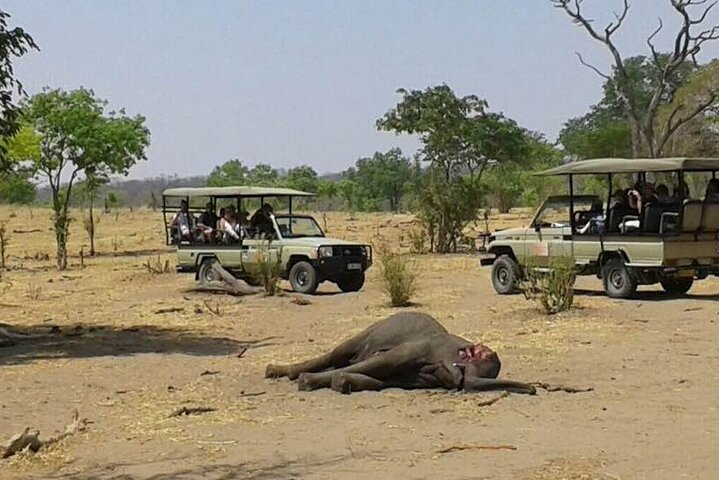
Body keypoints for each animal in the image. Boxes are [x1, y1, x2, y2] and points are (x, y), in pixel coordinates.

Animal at [268, 312, 536, 394]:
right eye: (462, 365)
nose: (533, 389)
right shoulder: (429, 347)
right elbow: (384, 363)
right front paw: (308, 382)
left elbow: (379, 380)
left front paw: (342, 382)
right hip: (370, 330)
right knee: (337, 354)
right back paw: (279, 372)